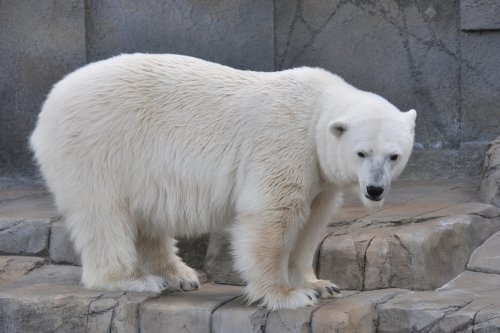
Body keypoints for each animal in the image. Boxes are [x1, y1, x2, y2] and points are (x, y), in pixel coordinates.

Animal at [29, 53, 416, 310]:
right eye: (361, 153)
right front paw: (289, 294)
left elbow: (311, 225)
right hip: (99, 147)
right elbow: (271, 216)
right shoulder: (286, 144)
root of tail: (50, 101)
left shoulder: (319, 175)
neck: (316, 109)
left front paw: (320, 284)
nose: (375, 189)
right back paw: (134, 278)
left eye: (394, 156)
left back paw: (179, 274)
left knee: (147, 216)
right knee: (104, 214)